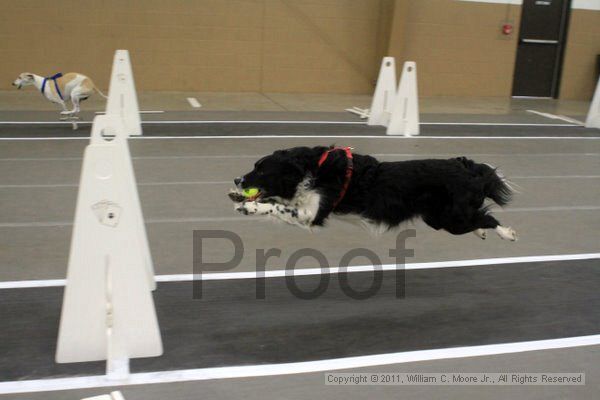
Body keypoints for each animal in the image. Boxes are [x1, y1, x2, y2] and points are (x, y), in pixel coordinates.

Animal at [227, 147, 516, 241]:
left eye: (261, 170)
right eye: (254, 166)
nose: (237, 179)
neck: (312, 168)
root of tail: (465, 166)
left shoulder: (312, 213)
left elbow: (276, 206)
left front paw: (249, 207)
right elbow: (272, 201)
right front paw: (238, 197)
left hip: (452, 219)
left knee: (489, 218)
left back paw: (507, 233)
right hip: (438, 218)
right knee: (479, 218)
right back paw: (482, 232)